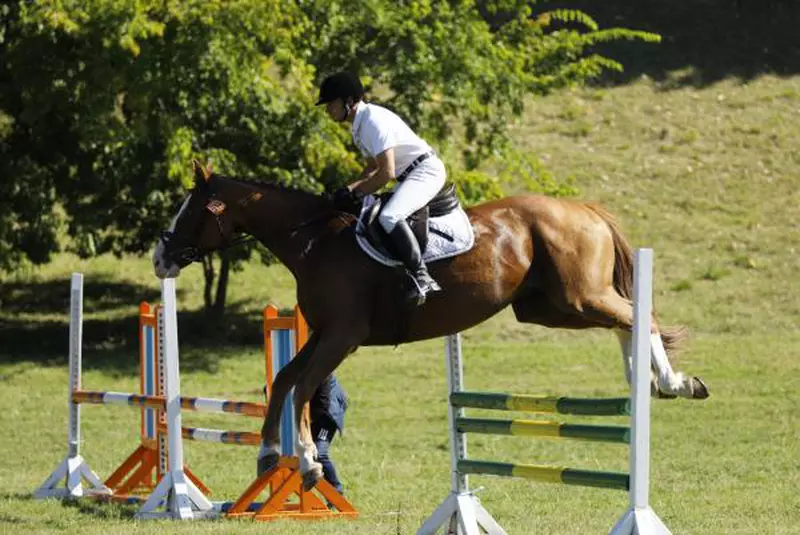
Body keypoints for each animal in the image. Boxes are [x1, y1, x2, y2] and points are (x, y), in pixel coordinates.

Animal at [153, 161, 709, 491]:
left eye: (193, 211)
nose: (161, 258)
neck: (315, 241)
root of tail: (583, 209)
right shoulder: (325, 333)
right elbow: (287, 379)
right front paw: (270, 454)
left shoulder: (344, 337)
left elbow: (305, 384)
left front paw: (308, 462)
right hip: (551, 308)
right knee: (625, 319)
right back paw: (651, 381)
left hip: (578, 296)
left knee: (640, 314)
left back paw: (672, 382)